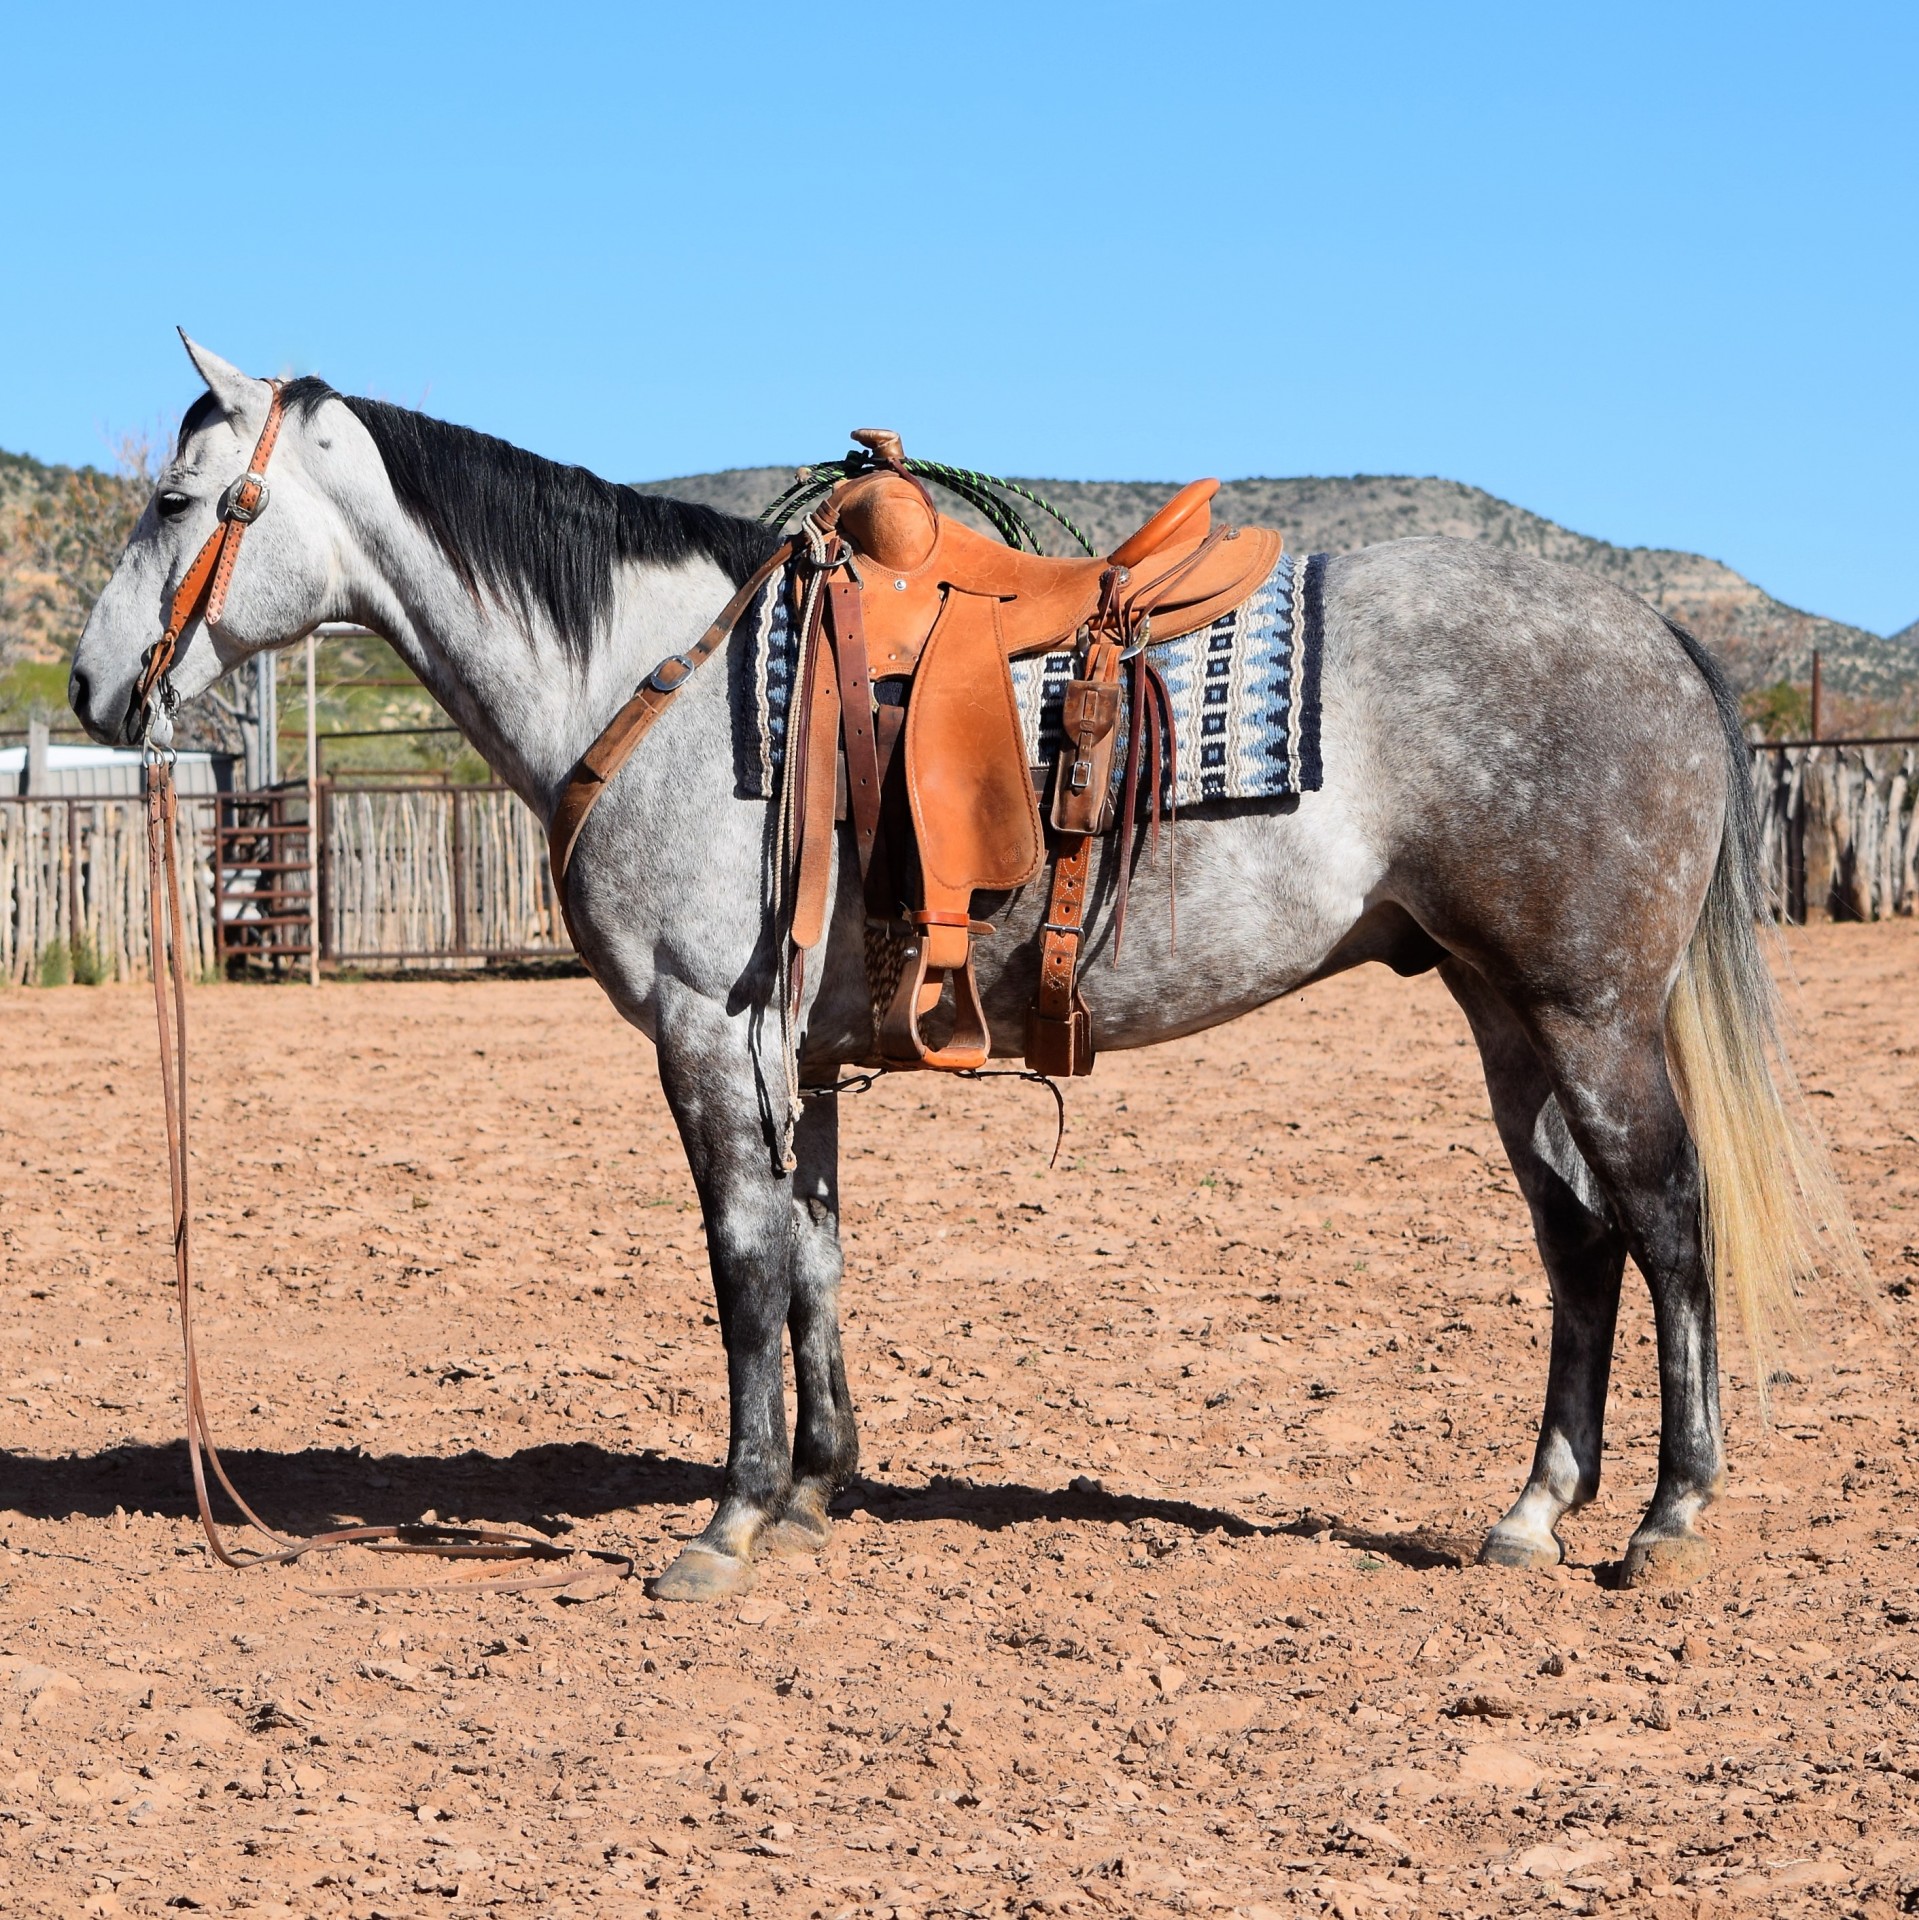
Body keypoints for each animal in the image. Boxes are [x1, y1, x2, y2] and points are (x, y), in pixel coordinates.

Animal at [67, 334, 1851, 1605]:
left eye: (178, 501)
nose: (90, 687)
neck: (652, 679)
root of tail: (1642, 629)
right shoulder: (794, 1057)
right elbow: (815, 1260)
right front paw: (810, 1494)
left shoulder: (705, 1040)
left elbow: (739, 1268)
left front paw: (722, 1526)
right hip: (1499, 1012)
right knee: (1574, 1235)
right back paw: (1532, 1510)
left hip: (1588, 1014)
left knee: (1662, 1218)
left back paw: (1666, 1519)